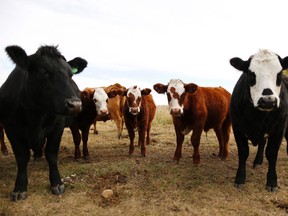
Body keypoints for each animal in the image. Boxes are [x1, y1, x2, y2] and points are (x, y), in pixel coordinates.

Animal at [0, 45, 87, 201]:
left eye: (70, 75)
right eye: (44, 72)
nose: (75, 104)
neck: (35, 114)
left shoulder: (57, 127)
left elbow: (51, 155)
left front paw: (56, 183)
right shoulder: (11, 128)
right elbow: (22, 158)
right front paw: (19, 188)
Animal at [231, 48, 288, 191]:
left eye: (279, 74)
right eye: (251, 74)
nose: (268, 101)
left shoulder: (279, 128)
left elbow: (272, 153)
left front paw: (272, 182)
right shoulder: (237, 127)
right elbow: (243, 152)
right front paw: (240, 178)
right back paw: (257, 161)